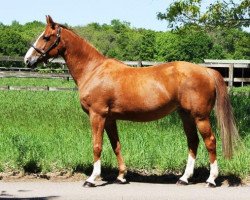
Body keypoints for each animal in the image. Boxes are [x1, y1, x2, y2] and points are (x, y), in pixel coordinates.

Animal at [23, 16, 238, 188]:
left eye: (46, 37)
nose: (27, 60)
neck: (94, 70)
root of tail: (207, 71)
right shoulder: (110, 118)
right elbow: (116, 145)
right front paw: (121, 176)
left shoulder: (97, 115)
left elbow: (97, 145)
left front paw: (92, 178)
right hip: (185, 115)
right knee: (193, 142)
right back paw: (184, 178)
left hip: (200, 117)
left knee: (210, 141)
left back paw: (211, 180)